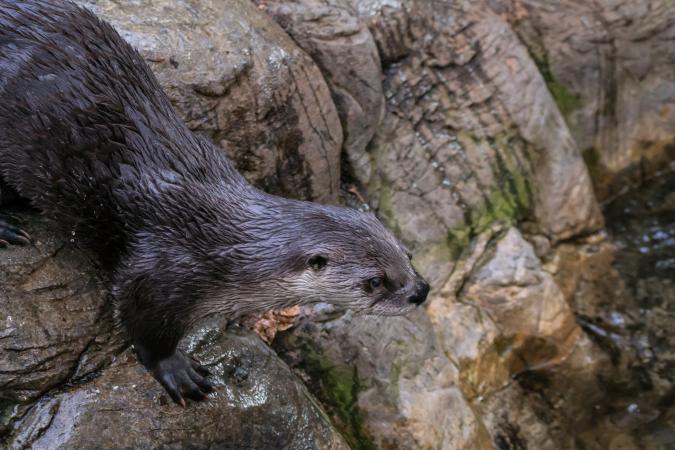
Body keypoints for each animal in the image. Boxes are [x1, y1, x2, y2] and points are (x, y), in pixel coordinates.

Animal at [0, 0, 430, 406]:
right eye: (375, 281)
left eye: (407, 253)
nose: (420, 291)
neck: (226, 245)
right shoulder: (163, 271)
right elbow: (141, 319)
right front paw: (175, 370)